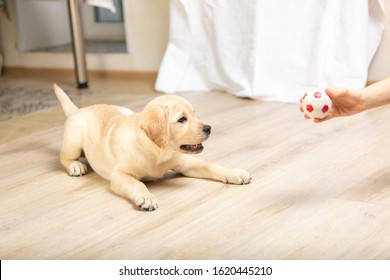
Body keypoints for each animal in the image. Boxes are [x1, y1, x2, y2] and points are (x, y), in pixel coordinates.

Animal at [53, 83, 251, 210]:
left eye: (194, 114)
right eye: (182, 119)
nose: (209, 128)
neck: (158, 153)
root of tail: (79, 110)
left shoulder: (185, 163)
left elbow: (210, 165)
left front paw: (234, 173)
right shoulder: (120, 175)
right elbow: (137, 184)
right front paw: (146, 197)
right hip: (74, 141)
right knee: (64, 156)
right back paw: (75, 166)